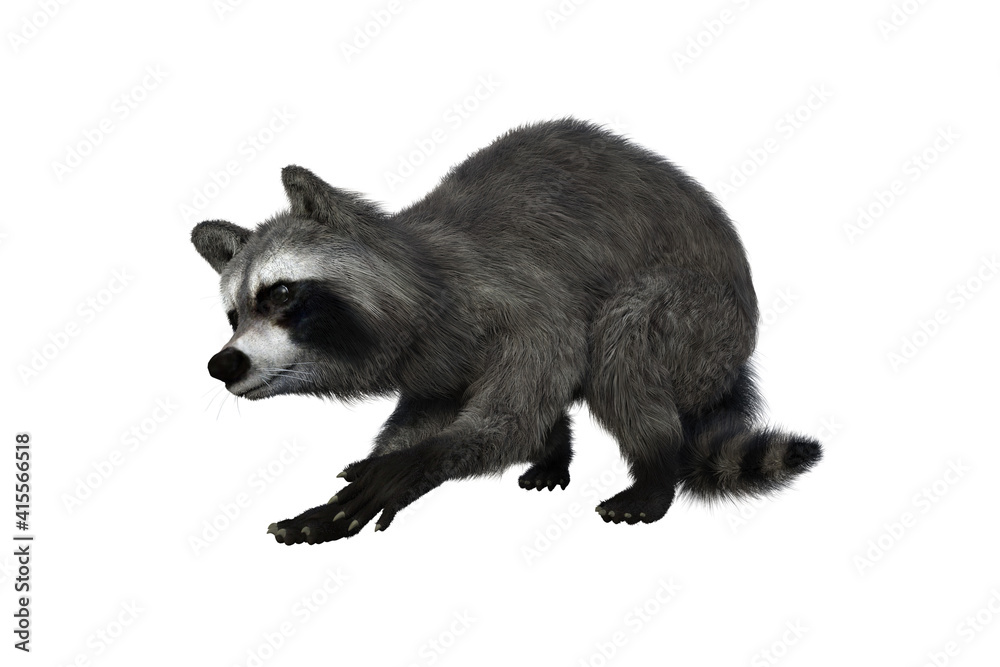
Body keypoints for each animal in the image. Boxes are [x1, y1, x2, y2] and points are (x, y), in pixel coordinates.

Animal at [191, 118, 822, 546]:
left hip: (702, 320)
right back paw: (557, 451)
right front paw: (377, 466)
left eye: (280, 294)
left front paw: (408, 467)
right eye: (233, 317)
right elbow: (428, 411)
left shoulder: (515, 298)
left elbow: (514, 413)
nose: (223, 364)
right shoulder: (436, 359)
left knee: (621, 341)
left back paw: (655, 467)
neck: (417, 277)